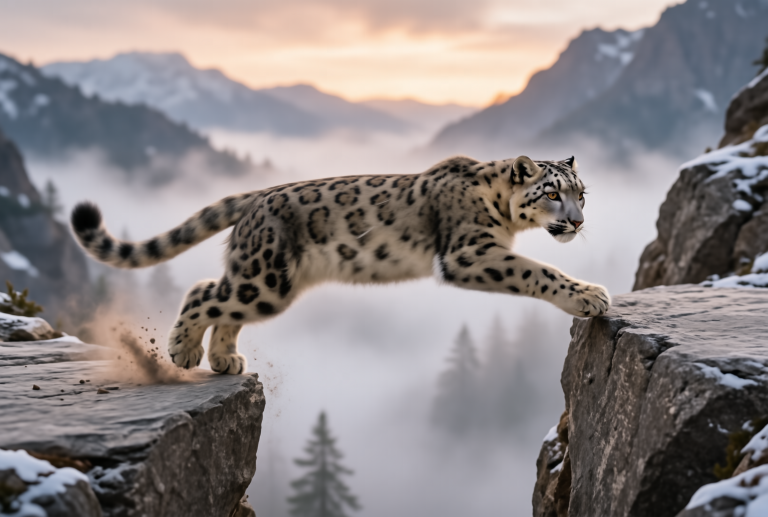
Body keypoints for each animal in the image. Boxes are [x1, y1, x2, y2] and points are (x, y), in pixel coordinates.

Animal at [71, 155, 610, 375]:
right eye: (552, 193)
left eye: (582, 193)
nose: (577, 221)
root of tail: (256, 198)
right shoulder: (470, 250)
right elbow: (535, 269)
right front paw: (590, 295)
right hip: (265, 279)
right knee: (205, 291)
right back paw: (182, 350)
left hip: (265, 283)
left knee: (224, 305)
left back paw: (225, 359)